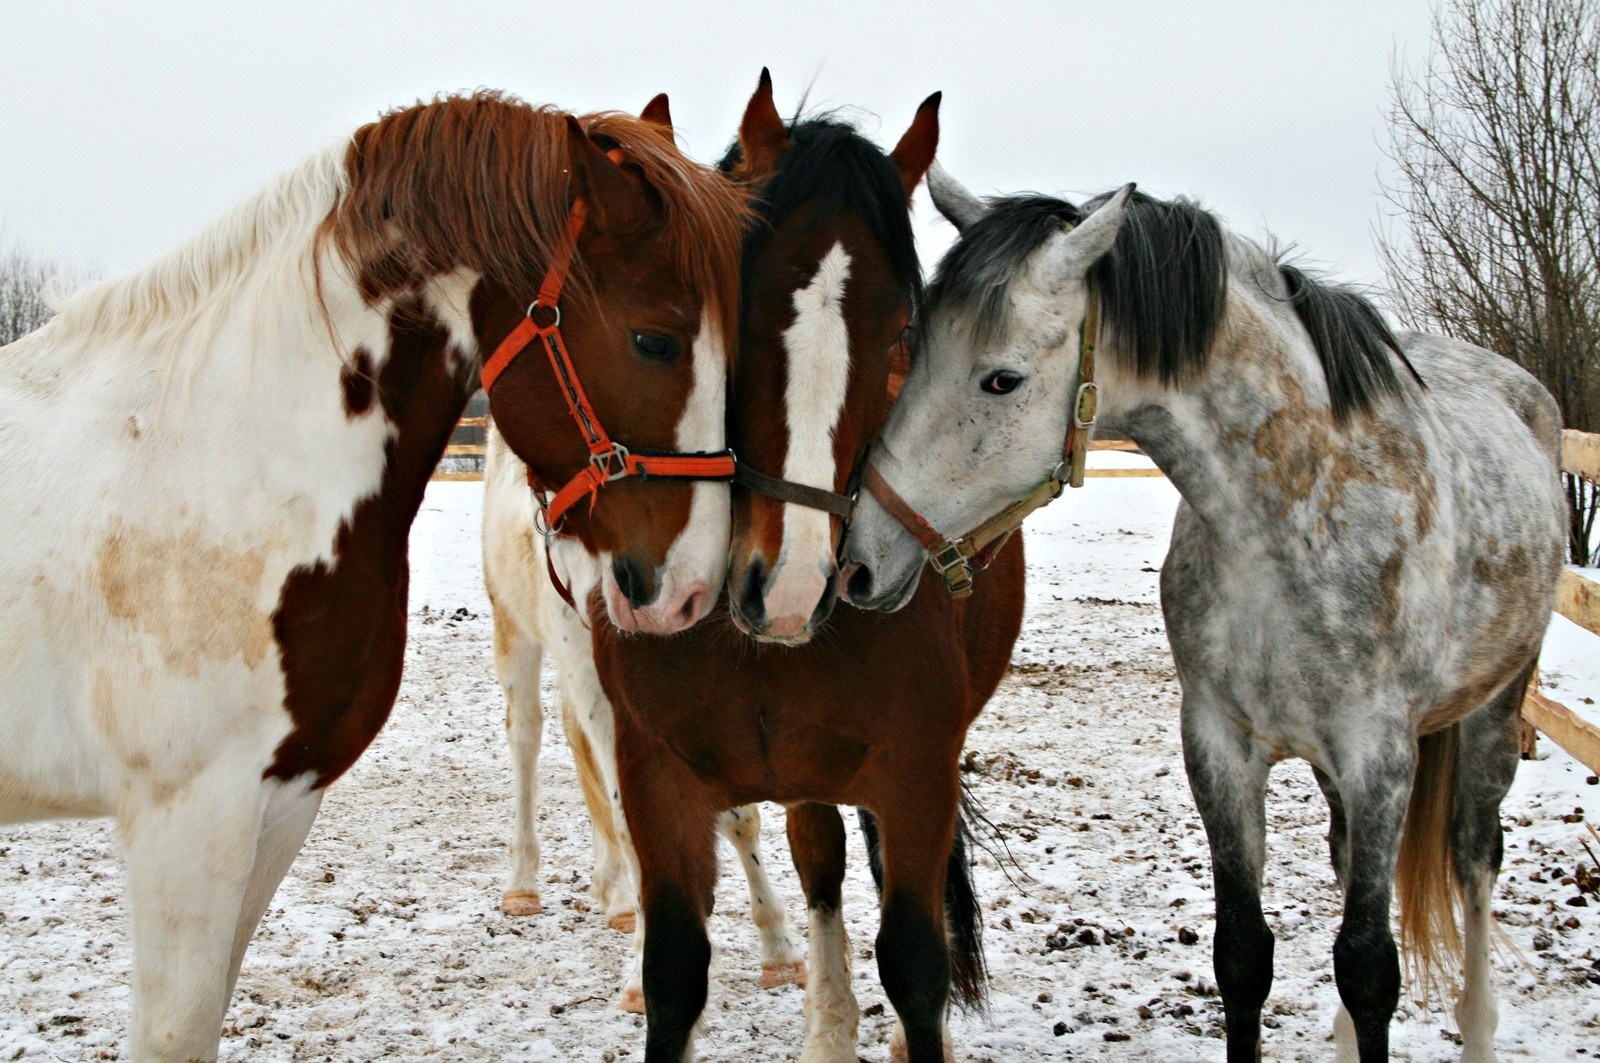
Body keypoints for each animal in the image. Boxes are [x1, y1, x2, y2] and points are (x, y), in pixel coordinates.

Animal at [585, 80, 1024, 1063]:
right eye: (733, 305)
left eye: (902, 330)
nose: (788, 588)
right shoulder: (658, 778)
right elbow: (674, 976)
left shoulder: (916, 774)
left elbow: (917, 966)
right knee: (820, 859)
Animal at [844, 170, 1568, 1056]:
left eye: (1001, 379)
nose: (859, 558)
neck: (1293, 520)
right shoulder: (1221, 747)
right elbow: (1243, 956)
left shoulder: (1380, 757)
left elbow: (1369, 967)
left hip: (1493, 713)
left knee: (1473, 857)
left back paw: (1478, 1022)